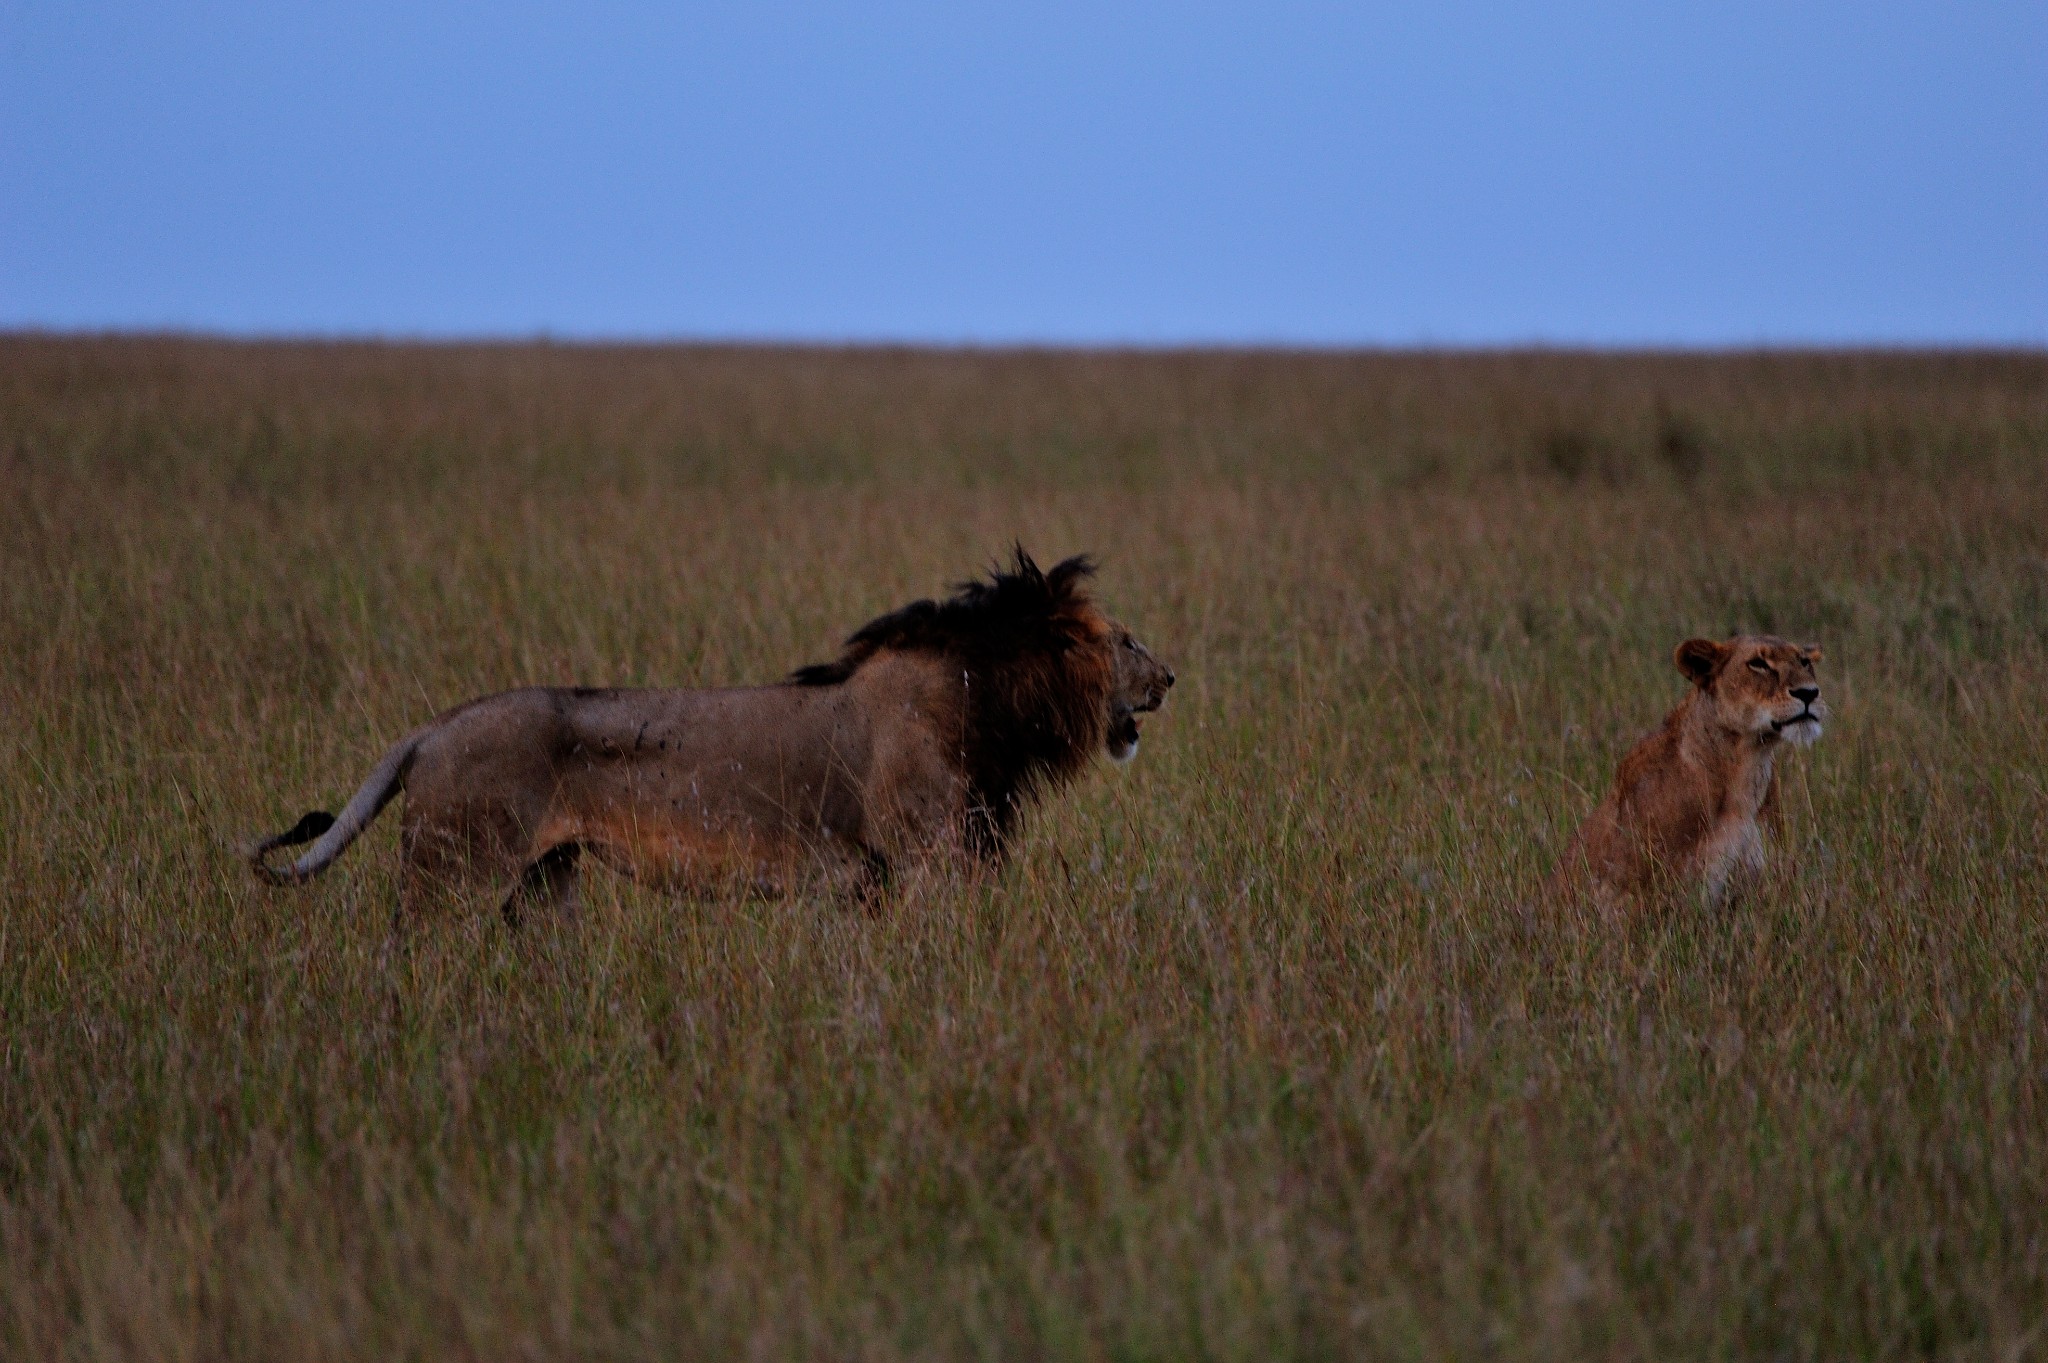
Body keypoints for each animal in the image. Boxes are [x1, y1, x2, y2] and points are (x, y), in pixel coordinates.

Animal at [247, 548, 1179, 916]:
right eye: (1128, 641)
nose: (1171, 676)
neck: (987, 701)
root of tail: (431, 727)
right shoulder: (930, 860)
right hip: (451, 878)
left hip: (546, 888)